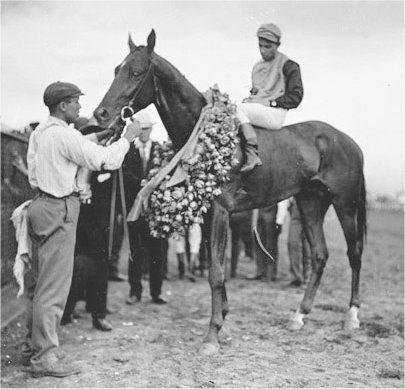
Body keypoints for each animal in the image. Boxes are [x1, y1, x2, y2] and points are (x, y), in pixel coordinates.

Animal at [91, 30, 366, 354]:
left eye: (136, 71)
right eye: (115, 70)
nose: (101, 114)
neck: (203, 132)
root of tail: (347, 141)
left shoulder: (222, 210)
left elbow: (215, 272)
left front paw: (212, 335)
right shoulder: (210, 212)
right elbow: (216, 267)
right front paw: (222, 318)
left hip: (344, 203)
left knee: (354, 253)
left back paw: (352, 316)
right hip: (311, 202)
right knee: (321, 254)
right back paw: (299, 315)